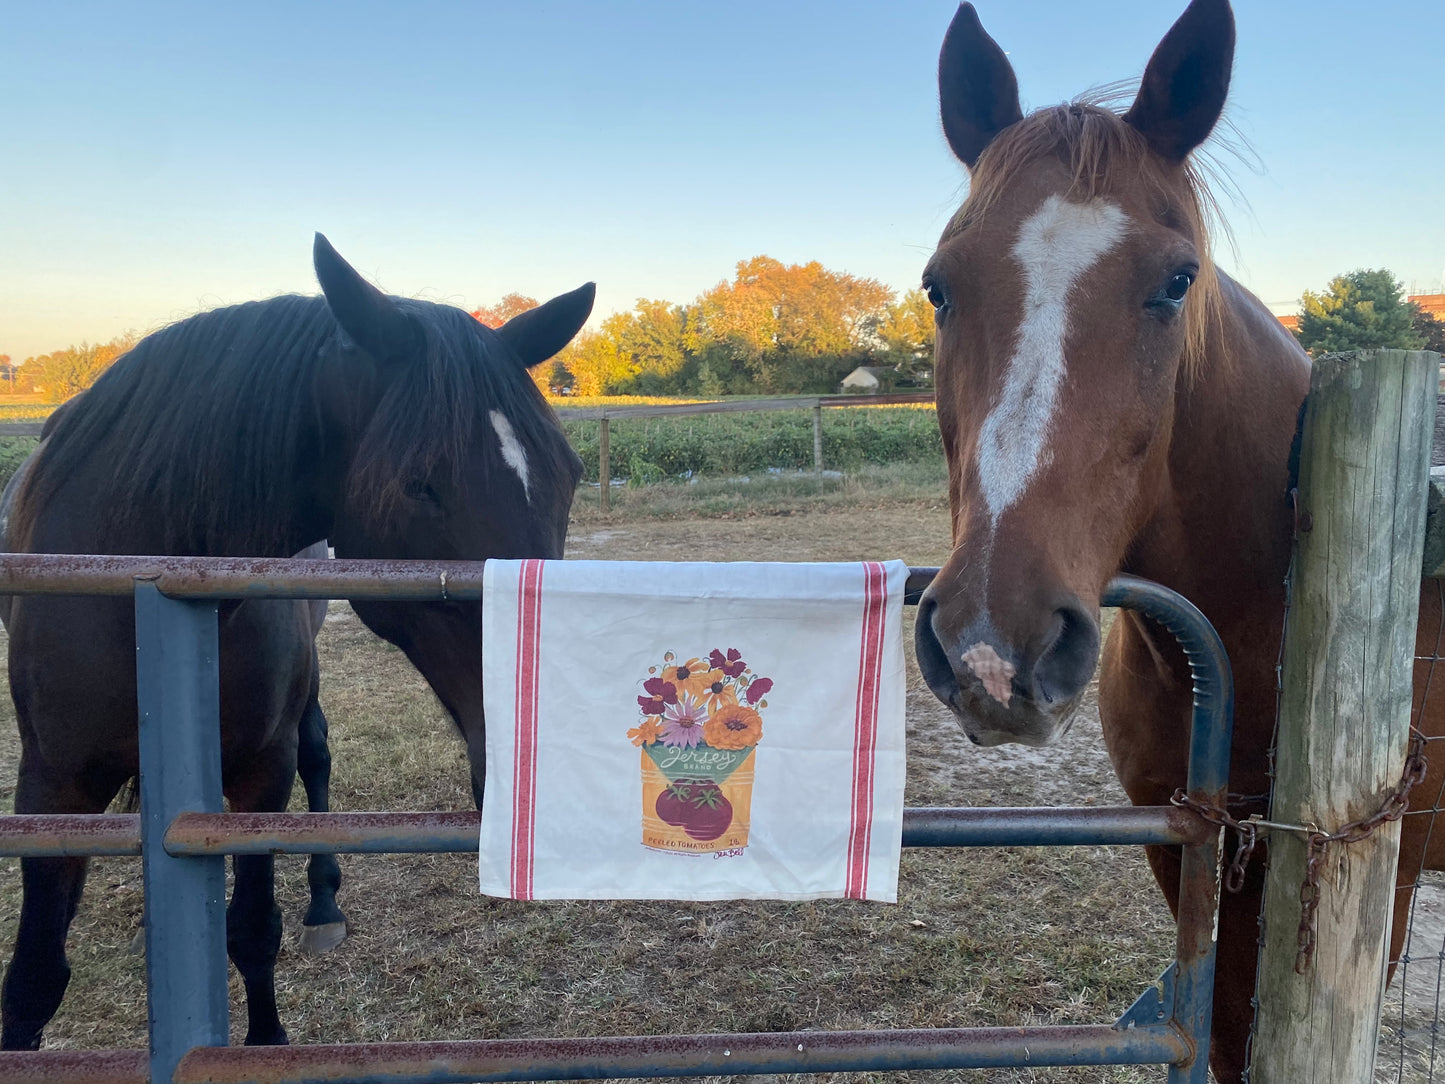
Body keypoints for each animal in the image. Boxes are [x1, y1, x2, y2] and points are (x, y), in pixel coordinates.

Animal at [1, 235, 592, 1052]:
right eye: (419, 486)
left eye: (570, 476)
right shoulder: (51, 783)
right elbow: (33, 978)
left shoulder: (261, 770)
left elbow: (252, 926)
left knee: (317, 758)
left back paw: (324, 903)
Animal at [913, 4, 1445, 1081]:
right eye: (938, 286)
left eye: (1174, 280)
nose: (992, 648)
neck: (1261, 609)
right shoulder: (1184, 845)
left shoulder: (1387, 877)